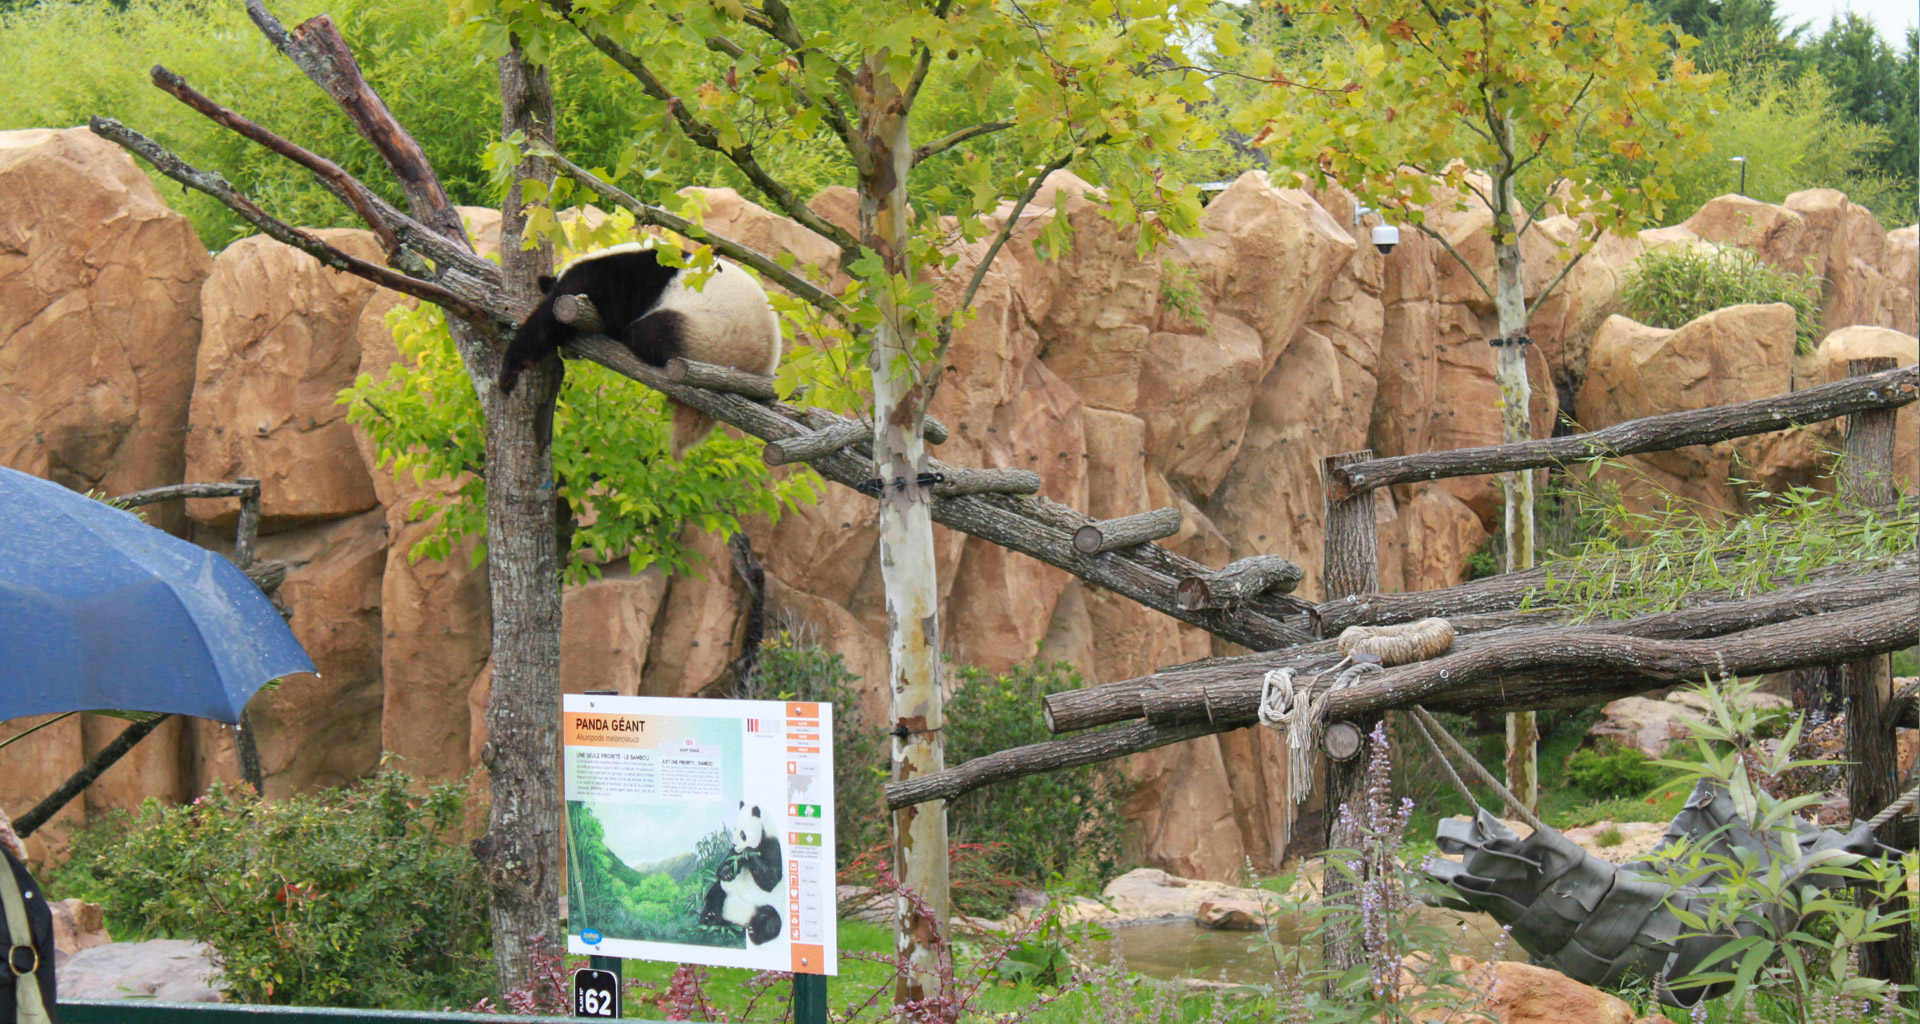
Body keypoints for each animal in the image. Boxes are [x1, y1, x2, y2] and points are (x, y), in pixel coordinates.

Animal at [506, 241, 791, 457]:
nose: (567, 354)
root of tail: (762, 365)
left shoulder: (619, 280)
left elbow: (565, 314)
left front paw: (513, 364)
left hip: (711, 336)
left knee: (651, 332)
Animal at [702, 803, 783, 945]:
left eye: (742, 833)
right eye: (734, 829)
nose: (734, 843)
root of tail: (738, 921)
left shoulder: (772, 846)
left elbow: (771, 879)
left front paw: (748, 852)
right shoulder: (734, 853)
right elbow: (722, 866)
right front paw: (728, 872)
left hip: (764, 905)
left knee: (772, 919)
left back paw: (754, 932)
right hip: (725, 892)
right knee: (715, 894)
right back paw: (709, 917)